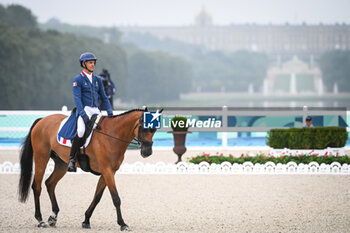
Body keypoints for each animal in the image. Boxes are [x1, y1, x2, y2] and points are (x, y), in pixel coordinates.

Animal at [17, 108, 157, 230]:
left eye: (154, 130)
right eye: (144, 128)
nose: (147, 152)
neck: (112, 135)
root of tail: (42, 120)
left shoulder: (107, 172)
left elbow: (97, 197)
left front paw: (86, 220)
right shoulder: (107, 171)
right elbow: (116, 198)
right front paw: (123, 224)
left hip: (61, 164)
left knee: (50, 183)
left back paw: (53, 217)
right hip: (41, 157)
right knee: (37, 186)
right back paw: (40, 220)